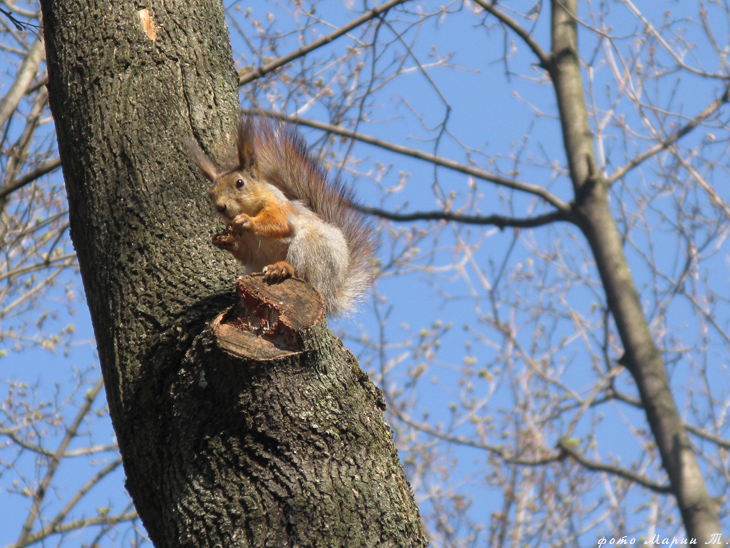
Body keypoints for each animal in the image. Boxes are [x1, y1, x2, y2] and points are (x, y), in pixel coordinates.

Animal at [188, 117, 376, 318]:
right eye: (211, 193)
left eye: (240, 183)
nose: (221, 207)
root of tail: (331, 293)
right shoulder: (251, 253)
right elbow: (245, 253)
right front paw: (223, 240)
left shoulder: (280, 207)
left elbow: (280, 223)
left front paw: (247, 221)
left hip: (313, 248)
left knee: (303, 273)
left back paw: (283, 268)